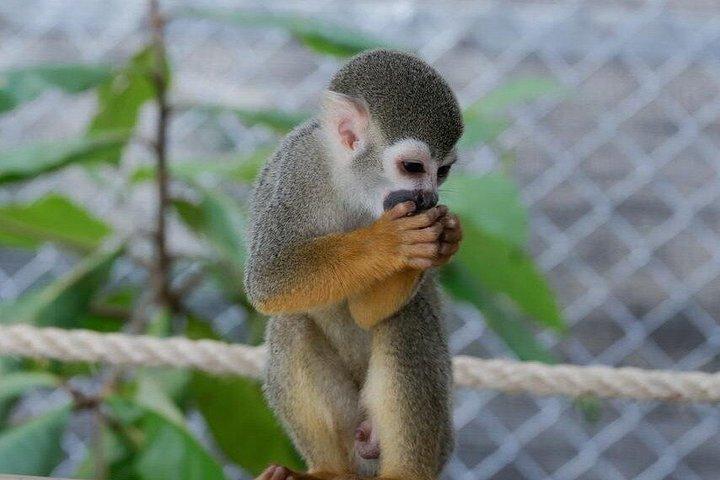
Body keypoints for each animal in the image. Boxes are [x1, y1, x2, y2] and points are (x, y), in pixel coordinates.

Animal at [244, 49, 464, 480]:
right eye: (414, 168)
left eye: (443, 171)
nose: (430, 199)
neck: (352, 185)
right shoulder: (296, 171)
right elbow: (267, 279)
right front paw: (390, 242)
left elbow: (369, 313)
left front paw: (440, 240)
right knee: (290, 323)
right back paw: (329, 469)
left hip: (434, 440)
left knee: (406, 317)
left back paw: (405, 473)